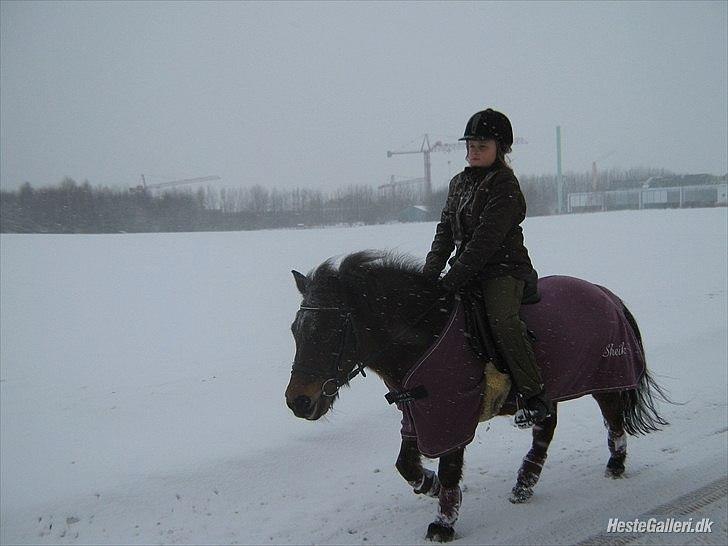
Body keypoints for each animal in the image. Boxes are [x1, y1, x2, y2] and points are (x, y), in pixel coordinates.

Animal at [282, 251, 664, 540]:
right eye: (296, 330)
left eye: (329, 331)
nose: (298, 401)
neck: (425, 334)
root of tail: (605, 293)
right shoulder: (417, 413)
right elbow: (406, 466)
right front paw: (432, 487)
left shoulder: (452, 411)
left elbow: (450, 467)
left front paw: (443, 524)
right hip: (548, 387)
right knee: (546, 426)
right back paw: (524, 484)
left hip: (606, 379)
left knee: (612, 420)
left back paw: (615, 465)